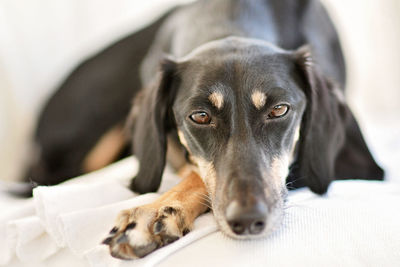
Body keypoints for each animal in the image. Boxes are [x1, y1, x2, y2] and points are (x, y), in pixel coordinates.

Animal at [22, 0, 384, 260]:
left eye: (279, 110)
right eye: (199, 116)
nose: (248, 220)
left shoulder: (355, 166)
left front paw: (155, 214)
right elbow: (195, 169)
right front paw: (157, 211)